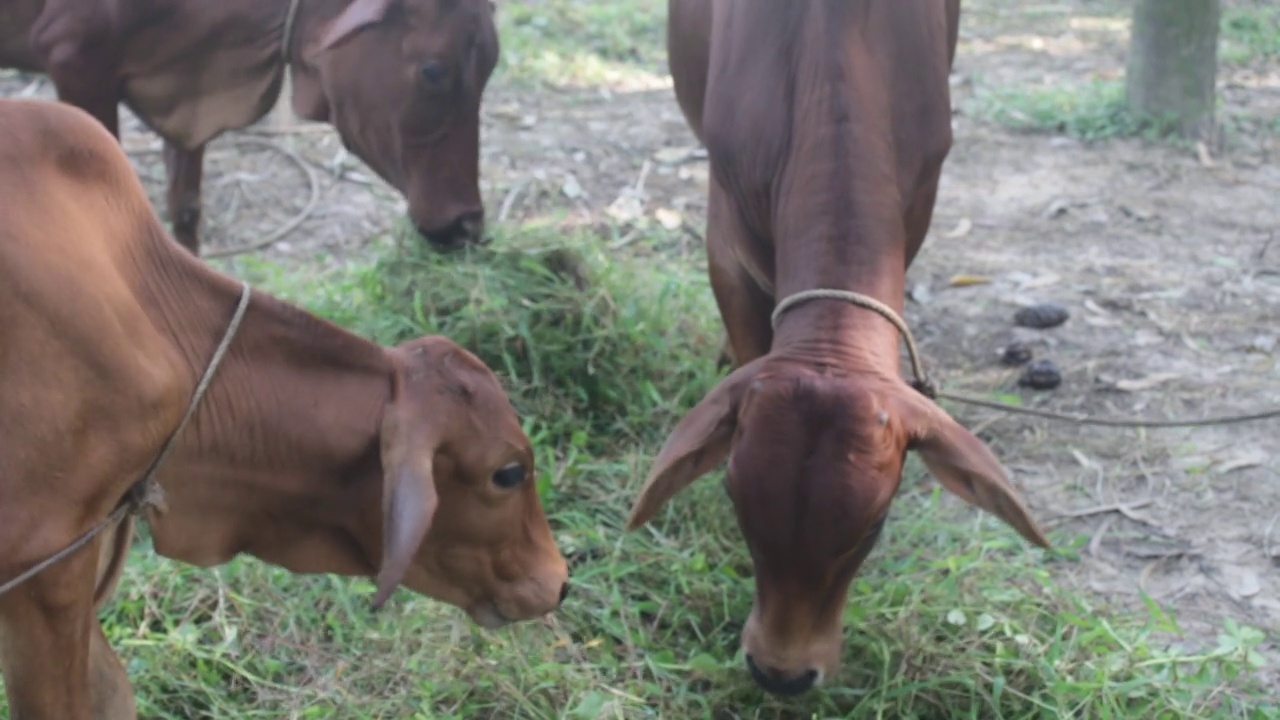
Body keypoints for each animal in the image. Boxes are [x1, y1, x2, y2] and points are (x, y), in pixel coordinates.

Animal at [0, 0, 499, 252]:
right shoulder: (76, 60)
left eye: (491, 65)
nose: (467, 224)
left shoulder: (190, 100)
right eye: (433, 71)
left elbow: (185, 209)